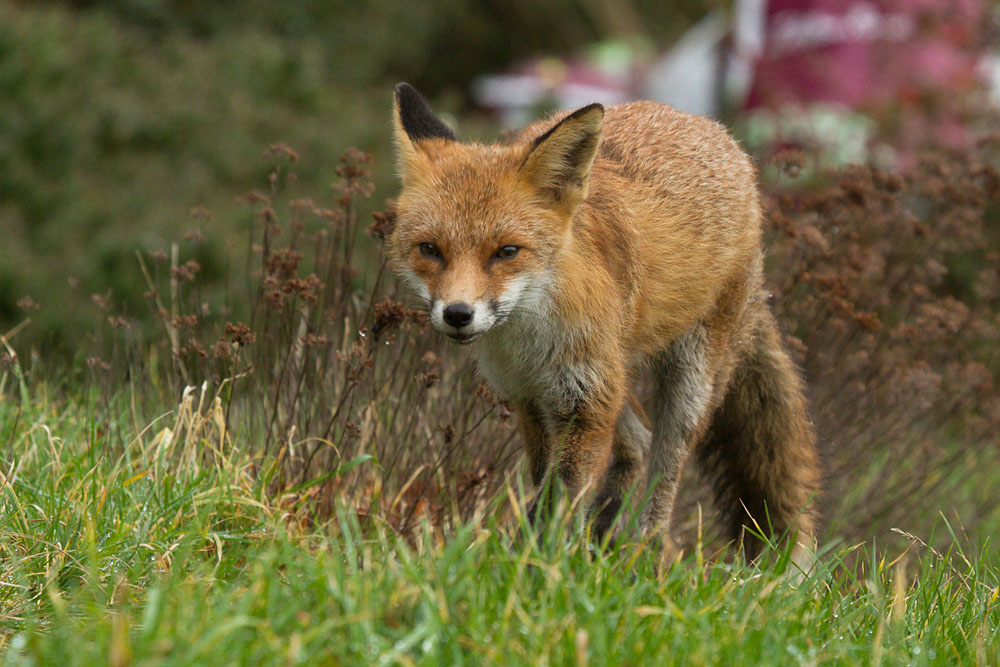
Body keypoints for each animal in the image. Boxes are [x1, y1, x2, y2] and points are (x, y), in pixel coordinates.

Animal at [387, 82, 821, 561]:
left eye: (506, 252)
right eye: (430, 250)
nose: (458, 314)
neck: (529, 337)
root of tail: (710, 128)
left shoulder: (584, 401)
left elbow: (559, 495)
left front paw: (538, 565)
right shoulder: (533, 398)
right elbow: (546, 485)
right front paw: (541, 553)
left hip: (688, 383)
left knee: (664, 474)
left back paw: (644, 555)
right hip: (616, 370)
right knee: (637, 440)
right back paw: (600, 538)